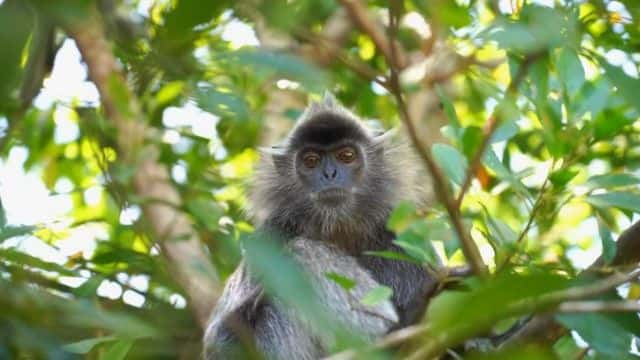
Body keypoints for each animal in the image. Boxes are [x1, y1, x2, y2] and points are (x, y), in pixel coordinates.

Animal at [204, 93, 436, 360]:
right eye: (311, 161)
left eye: (347, 156)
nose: (330, 174)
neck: (336, 228)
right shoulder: (271, 236)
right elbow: (219, 338)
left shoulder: (399, 237)